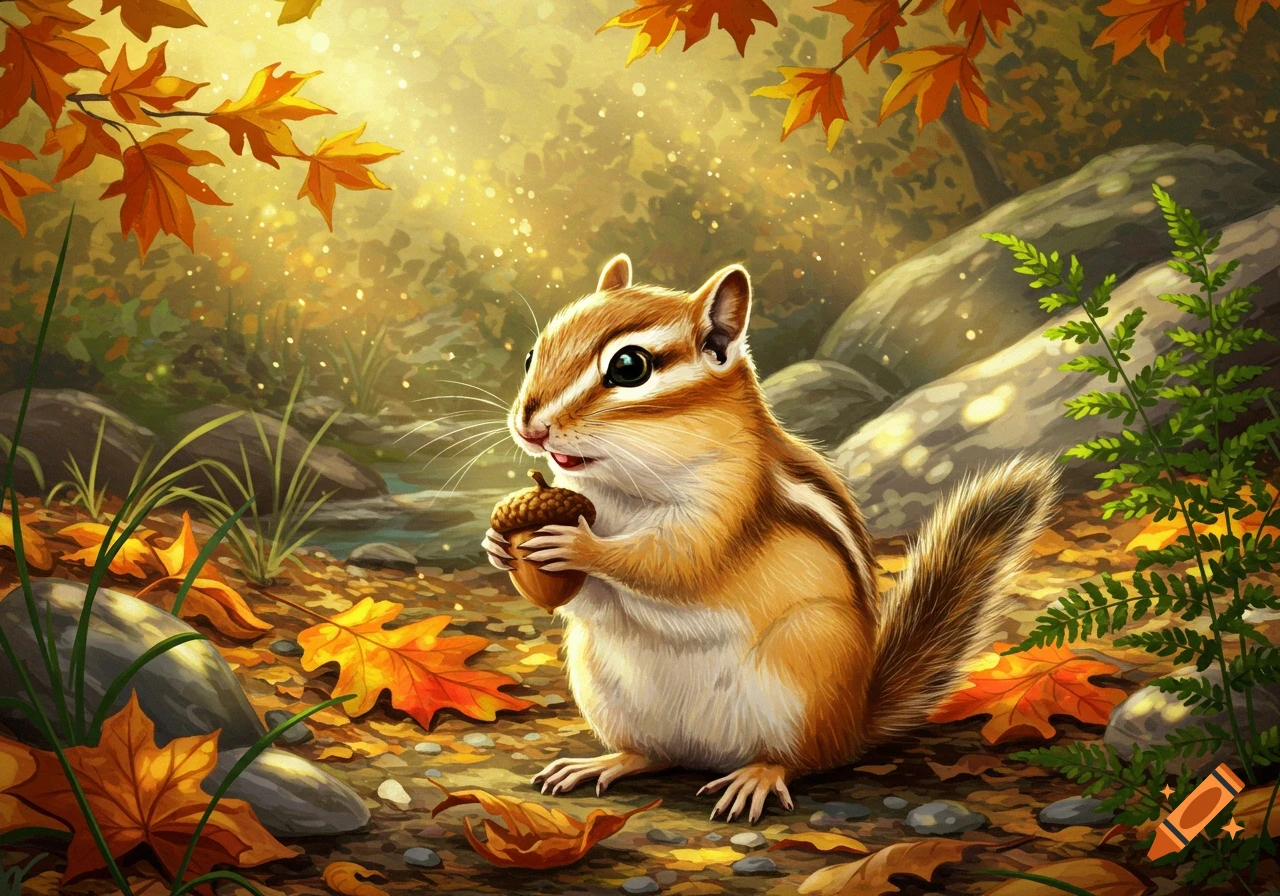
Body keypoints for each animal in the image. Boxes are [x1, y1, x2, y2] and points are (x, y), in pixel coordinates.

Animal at [481, 254, 1060, 823]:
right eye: (532, 354)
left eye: (629, 367)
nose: (530, 426)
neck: (621, 485)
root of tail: (855, 718)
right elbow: (587, 599)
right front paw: (497, 546)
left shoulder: (730, 506)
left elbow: (674, 562)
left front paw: (579, 546)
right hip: (601, 679)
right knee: (654, 755)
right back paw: (603, 763)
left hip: (803, 662)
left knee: (799, 760)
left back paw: (756, 778)